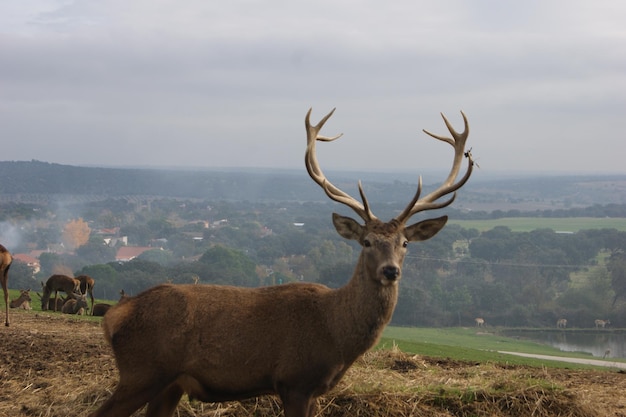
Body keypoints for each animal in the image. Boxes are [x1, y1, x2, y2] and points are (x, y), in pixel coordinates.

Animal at [85, 108, 470, 416]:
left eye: (405, 243)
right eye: (366, 242)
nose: (391, 270)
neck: (336, 333)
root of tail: (114, 315)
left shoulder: (313, 390)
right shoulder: (294, 380)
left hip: (169, 384)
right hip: (142, 372)